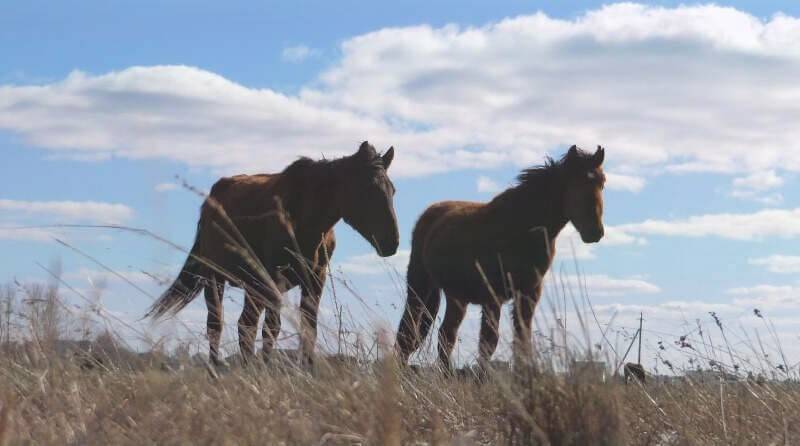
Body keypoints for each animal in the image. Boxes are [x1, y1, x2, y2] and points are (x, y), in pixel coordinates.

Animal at [148, 142, 400, 366]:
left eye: (392, 190)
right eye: (366, 189)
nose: (392, 242)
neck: (303, 218)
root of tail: (209, 203)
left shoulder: (315, 280)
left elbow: (308, 328)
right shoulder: (273, 281)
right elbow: (271, 328)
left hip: (252, 287)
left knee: (245, 326)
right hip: (216, 278)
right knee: (217, 325)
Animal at [394, 145, 608, 372]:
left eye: (602, 182)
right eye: (576, 182)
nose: (595, 232)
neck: (520, 227)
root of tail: (429, 214)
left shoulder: (528, 294)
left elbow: (522, 339)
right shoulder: (493, 296)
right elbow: (489, 341)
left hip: (456, 297)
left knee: (445, 335)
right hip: (419, 289)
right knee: (408, 333)